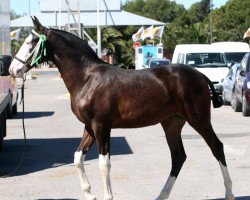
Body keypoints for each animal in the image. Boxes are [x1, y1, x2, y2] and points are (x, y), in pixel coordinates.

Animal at [7, 17, 234, 200]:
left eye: (31, 42)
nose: (13, 69)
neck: (87, 78)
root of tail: (199, 75)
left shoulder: (102, 127)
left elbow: (104, 164)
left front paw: (106, 196)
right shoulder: (89, 128)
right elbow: (78, 158)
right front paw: (89, 194)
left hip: (199, 120)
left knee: (217, 147)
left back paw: (229, 193)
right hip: (172, 123)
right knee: (178, 156)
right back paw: (161, 195)